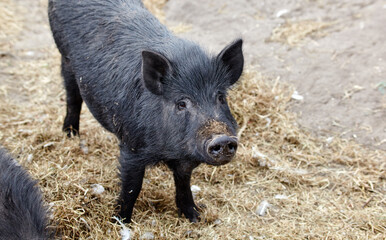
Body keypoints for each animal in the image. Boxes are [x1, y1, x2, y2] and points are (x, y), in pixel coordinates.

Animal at [46, 0, 243, 223]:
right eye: (181, 103)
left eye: (221, 97)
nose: (222, 139)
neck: (168, 151)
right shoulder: (131, 147)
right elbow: (132, 187)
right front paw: (120, 221)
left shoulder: (184, 159)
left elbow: (183, 181)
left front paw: (195, 217)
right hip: (65, 57)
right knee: (72, 96)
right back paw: (70, 135)